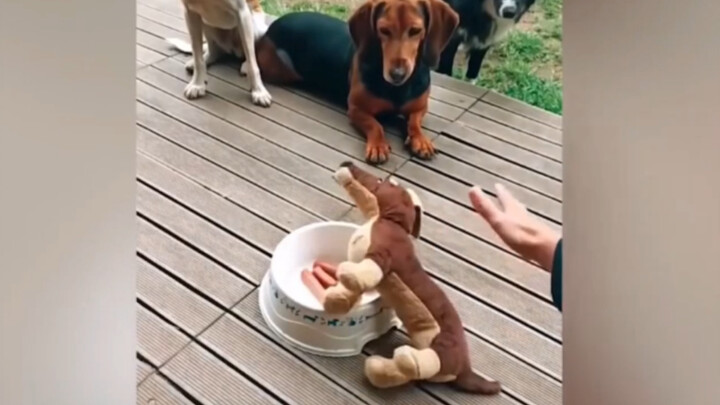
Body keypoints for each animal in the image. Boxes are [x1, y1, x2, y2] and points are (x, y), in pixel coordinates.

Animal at [250, 1, 458, 163]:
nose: (397, 74)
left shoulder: (420, 107)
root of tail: (273, 26)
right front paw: (378, 145)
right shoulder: (356, 109)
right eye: (383, 30)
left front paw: (421, 140)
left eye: (415, 30)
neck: (398, 89)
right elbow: (375, 125)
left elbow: (414, 121)